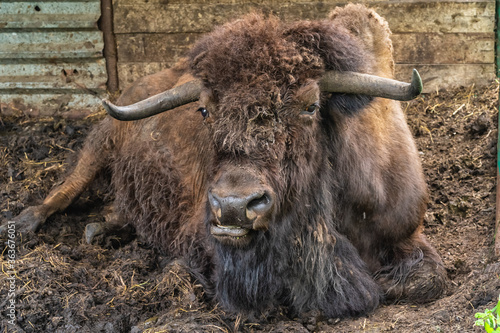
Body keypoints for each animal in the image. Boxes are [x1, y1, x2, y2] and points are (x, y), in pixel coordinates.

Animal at [3, 4, 446, 316]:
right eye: (203, 110)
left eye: (310, 106)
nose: (234, 206)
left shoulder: (406, 231)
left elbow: (425, 282)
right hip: (99, 143)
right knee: (65, 187)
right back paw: (26, 223)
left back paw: (100, 228)